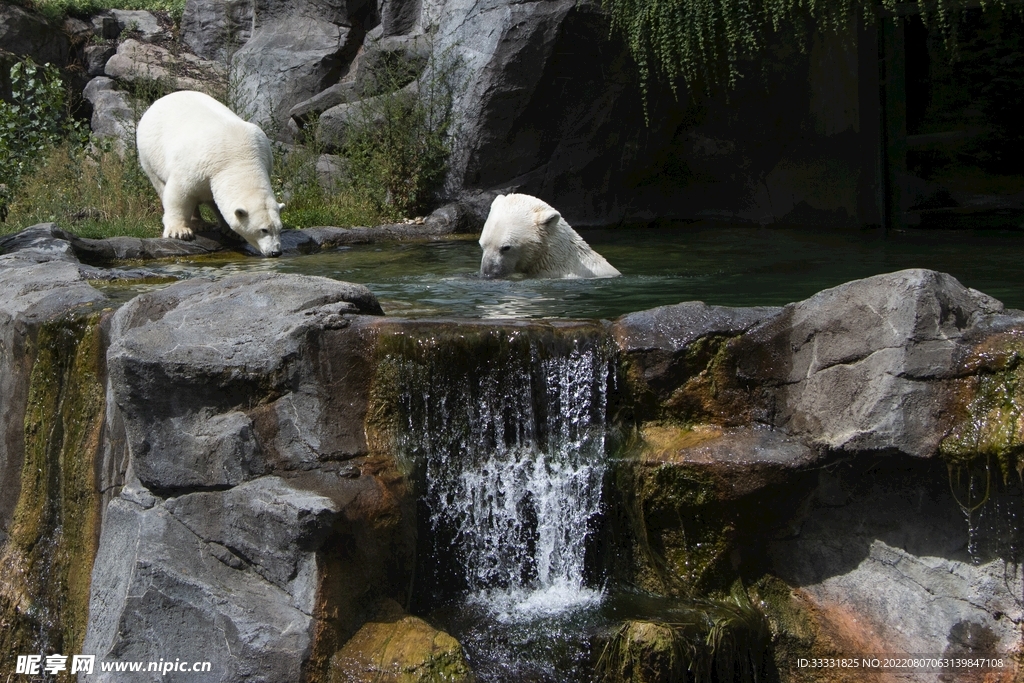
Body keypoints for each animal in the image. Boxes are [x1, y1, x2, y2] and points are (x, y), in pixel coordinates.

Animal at [135, 90, 284, 255]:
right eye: (263, 230)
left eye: (279, 229)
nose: (276, 252)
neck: (240, 156)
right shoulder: (197, 164)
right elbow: (179, 193)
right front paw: (179, 232)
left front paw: (231, 232)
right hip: (150, 152)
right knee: (160, 183)